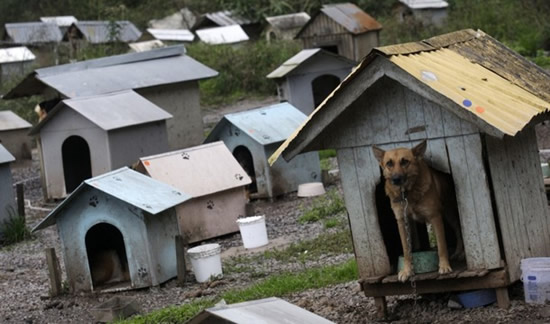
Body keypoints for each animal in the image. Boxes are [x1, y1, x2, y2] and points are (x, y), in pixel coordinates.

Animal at [374, 140, 464, 282]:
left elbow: (441, 246)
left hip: (449, 214)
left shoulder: (435, 217)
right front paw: (407, 270)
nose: (396, 179)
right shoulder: (402, 222)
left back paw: (459, 253)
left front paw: (444, 266)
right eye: (389, 163)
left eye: (405, 161)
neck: (407, 194)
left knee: (458, 231)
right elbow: (406, 250)